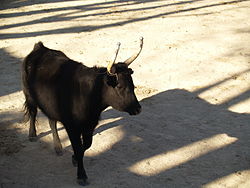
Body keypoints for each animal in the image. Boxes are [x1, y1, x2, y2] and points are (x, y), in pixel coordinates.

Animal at [22, 39, 144, 186]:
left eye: (132, 84)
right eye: (120, 86)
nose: (138, 109)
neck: (88, 93)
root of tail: (40, 47)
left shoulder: (89, 126)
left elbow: (85, 146)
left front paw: (74, 159)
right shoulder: (72, 127)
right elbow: (78, 148)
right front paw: (81, 176)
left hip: (51, 105)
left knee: (52, 120)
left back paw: (58, 147)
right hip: (29, 95)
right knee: (33, 112)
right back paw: (32, 134)